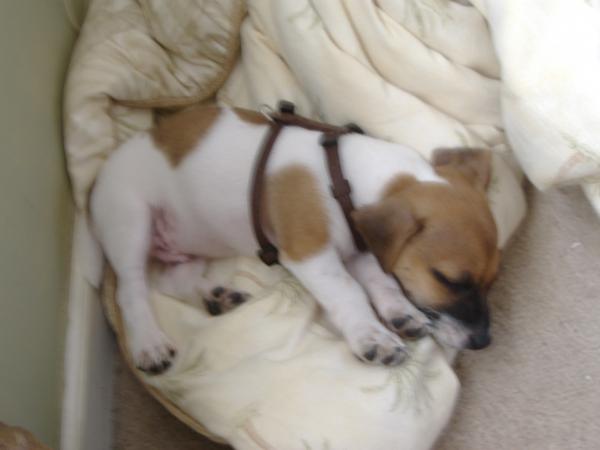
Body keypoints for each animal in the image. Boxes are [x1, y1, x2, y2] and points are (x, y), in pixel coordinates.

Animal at [90, 105, 499, 374]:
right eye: (449, 280)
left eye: (490, 282)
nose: (482, 342)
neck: (342, 177)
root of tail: (99, 176)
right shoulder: (311, 253)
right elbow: (349, 292)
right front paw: (372, 336)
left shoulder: (359, 248)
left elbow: (381, 281)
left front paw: (400, 312)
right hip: (131, 222)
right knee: (132, 290)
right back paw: (149, 342)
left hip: (192, 244)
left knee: (172, 280)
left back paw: (217, 296)